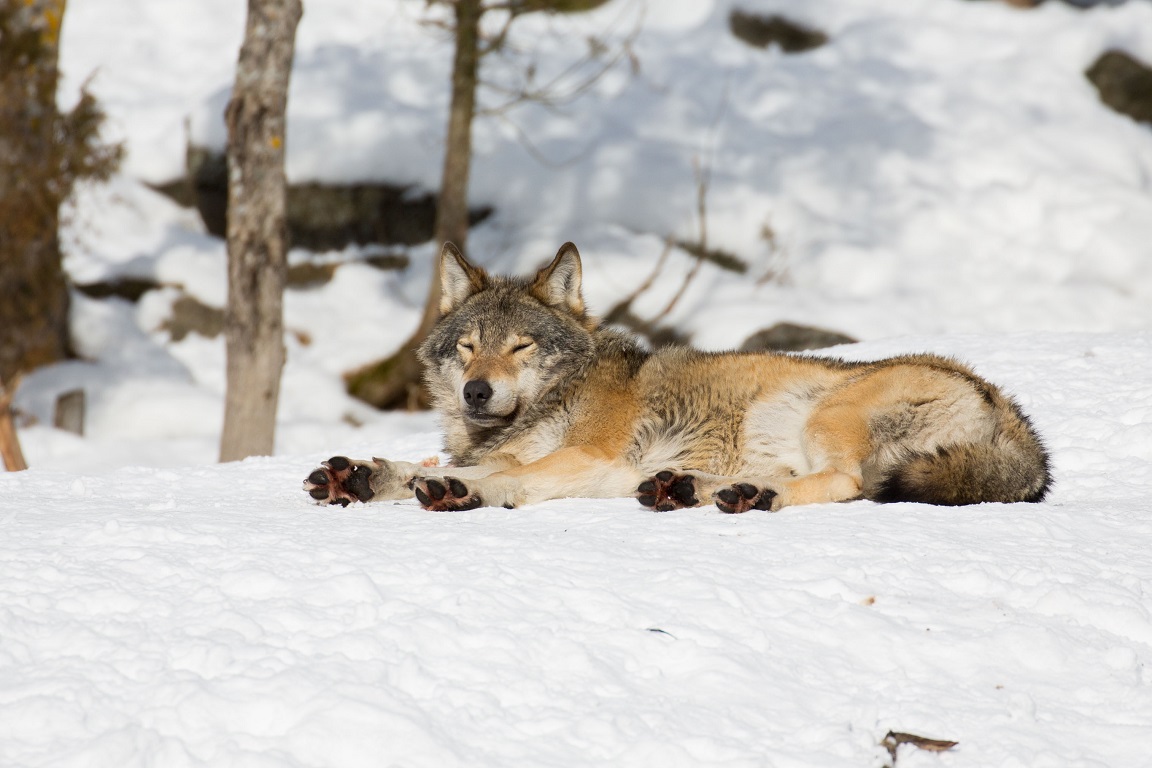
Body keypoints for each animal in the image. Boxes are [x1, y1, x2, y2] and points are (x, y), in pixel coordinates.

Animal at [301, 242, 1050, 513]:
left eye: (519, 347)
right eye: (467, 347)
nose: (476, 392)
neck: (556, 396)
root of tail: (1008, 405)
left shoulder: (593, 458)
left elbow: (505, 478)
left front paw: (462, 490)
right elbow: (429, 465)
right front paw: (365, 475)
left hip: (825, 417)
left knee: (850, 484)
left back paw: (743, 497)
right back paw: (699, 490)